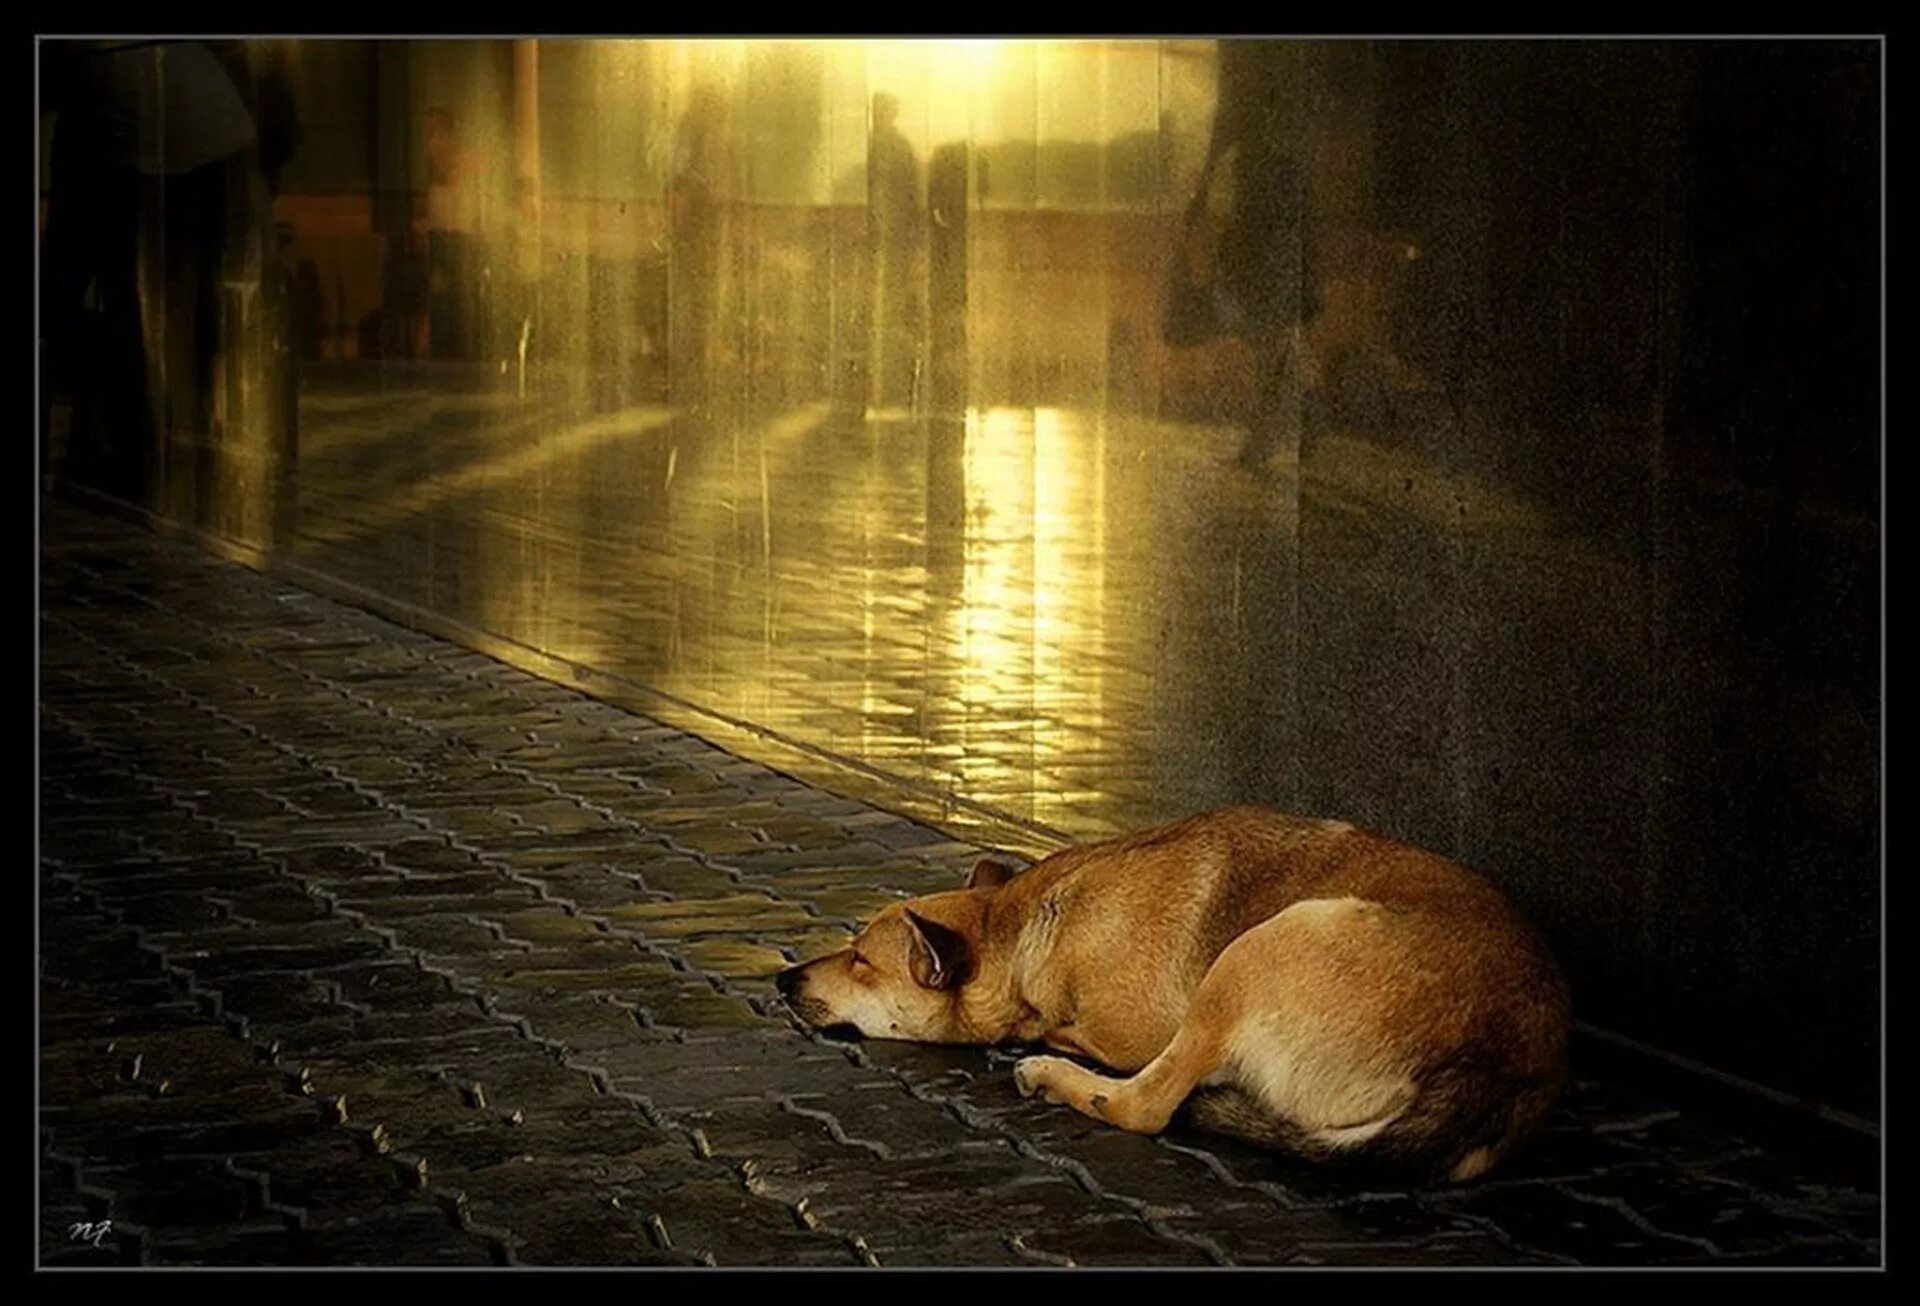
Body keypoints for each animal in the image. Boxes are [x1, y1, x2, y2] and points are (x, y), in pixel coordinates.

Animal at [771, 806, 1566, 1183]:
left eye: (860, 958)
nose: (781, 978)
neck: (1022, 926)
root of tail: (1497, 1067)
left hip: (1259, 950)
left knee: (1145, 1106)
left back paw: (1053, 1074)